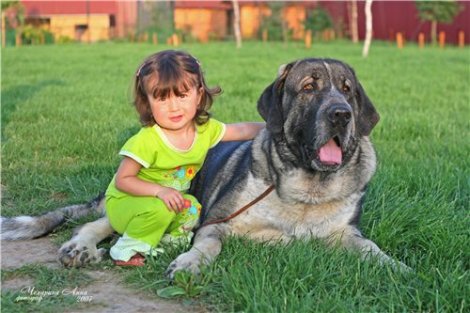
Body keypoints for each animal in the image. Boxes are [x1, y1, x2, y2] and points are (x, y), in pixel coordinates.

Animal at [0, 57, 408, 272]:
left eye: (348, 91)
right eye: (309, 87)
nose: (341, 114)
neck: (307, 191)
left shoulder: (346, 233)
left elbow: (371, 250)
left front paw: (399, 270)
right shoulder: (217, 223)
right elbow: (209, 246)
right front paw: (190, 263)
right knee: (99, 221)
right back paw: (82, 247)